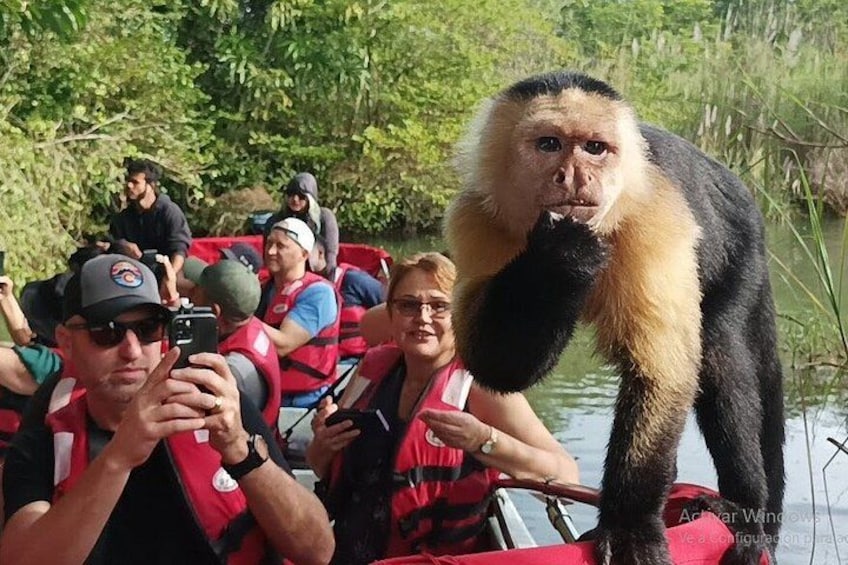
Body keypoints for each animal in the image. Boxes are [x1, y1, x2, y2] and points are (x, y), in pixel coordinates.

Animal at [444, 71, 785, 564]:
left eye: (595, 148)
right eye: (549, 144)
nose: (575, 175)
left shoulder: (654, 218)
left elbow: (663, 374)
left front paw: (630, 527)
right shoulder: (477, 217)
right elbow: (496, 367)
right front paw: (560, 257)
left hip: (742, 248)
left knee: (720, 354)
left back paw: (744, 509)